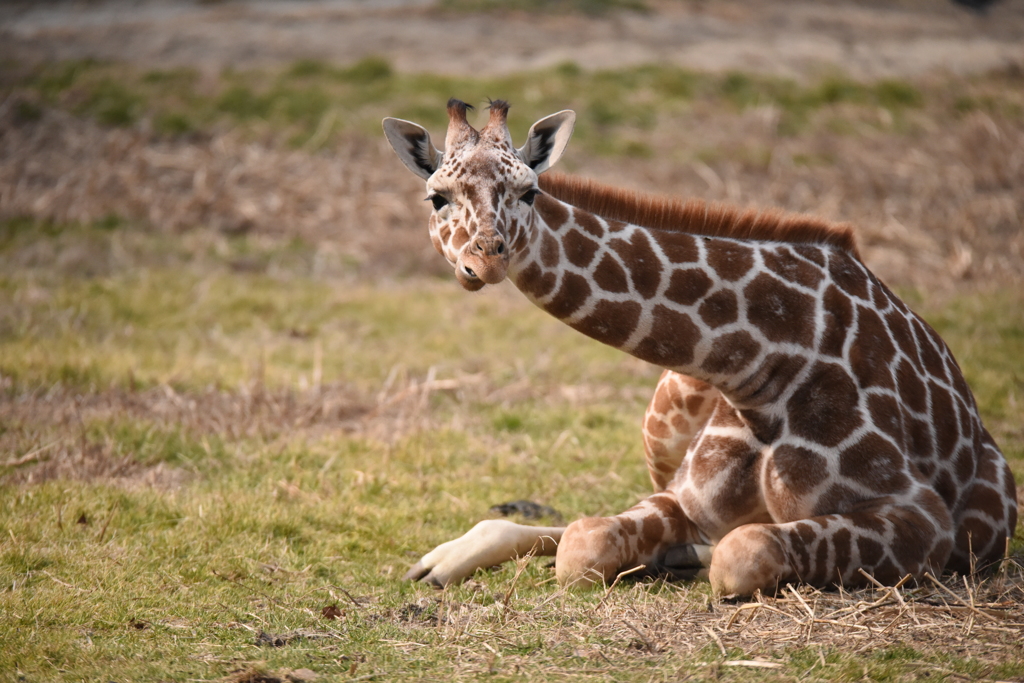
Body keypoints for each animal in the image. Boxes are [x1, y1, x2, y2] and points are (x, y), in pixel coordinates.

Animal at [382, 98, 1015, 593]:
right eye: (437, 197)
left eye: (529, 191)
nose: (484, 262)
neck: (763, 369)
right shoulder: (684, 496)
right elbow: (584, 542)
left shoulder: (922, 517)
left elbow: (742, 549)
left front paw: (693, 556)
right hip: (661, 420)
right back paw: (437, 563)